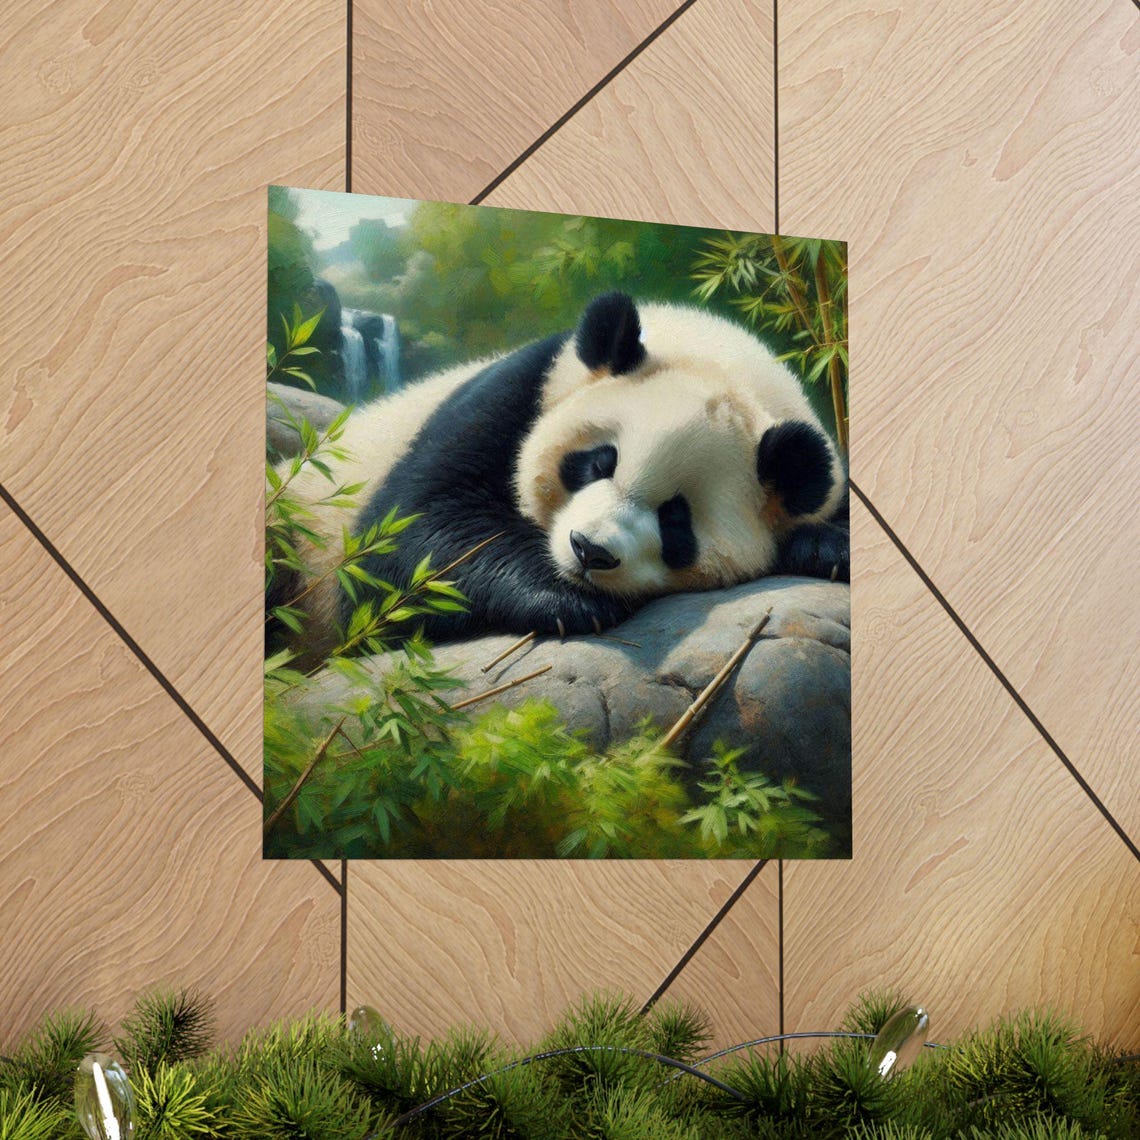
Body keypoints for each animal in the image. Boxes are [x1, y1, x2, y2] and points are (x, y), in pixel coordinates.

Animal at [279, 292, 848, 648]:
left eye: (676, 519)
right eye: (598, 461)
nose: (589, 551)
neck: (718, 355)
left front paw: (825, 547)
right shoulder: (517, 391)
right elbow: (411, 534)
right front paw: (563, 600)